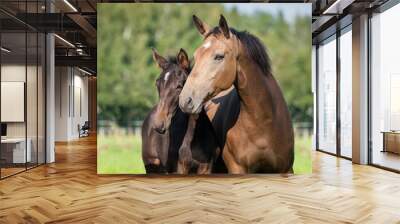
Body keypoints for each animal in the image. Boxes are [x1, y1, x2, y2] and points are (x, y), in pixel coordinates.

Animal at [179, 15, 294, 173]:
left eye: (219, 56)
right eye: (196, 56)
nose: (185, 100)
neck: (263, 122)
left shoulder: (286, 169)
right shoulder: (237, 169)